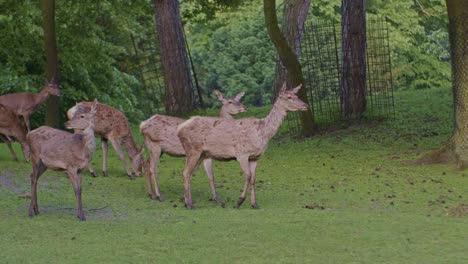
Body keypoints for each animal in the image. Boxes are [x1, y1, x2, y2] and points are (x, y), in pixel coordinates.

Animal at [177, 83, 308, 209]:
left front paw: (255, 204)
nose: (306, 105)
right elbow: (248, 176)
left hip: (202, 154)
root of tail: (180, 128)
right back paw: (189, 204)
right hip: (193, 149)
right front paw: (239, 202)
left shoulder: (255, 157)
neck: (261, 133)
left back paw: (188, 202)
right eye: (289, 97)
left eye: (296, 95)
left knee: (189, 173)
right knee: (186, 172)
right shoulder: (242, 154)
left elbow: (254, 179)